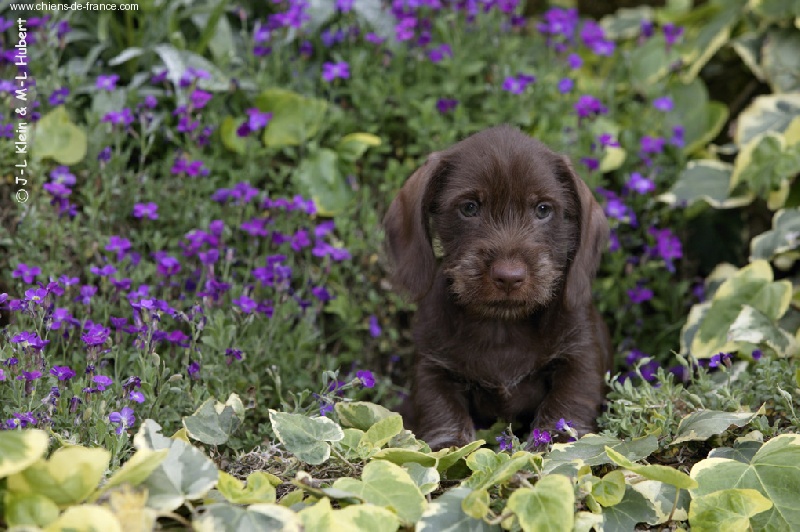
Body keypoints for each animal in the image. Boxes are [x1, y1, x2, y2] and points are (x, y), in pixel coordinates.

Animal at [384, 124, 608, 448]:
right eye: (469, 208)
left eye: (543, 209)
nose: (509, 276)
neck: (502, 326)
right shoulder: (432, 366)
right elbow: (442, 410)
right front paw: (449, 447)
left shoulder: (580, 354)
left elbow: (568, 403)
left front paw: (555, 440)